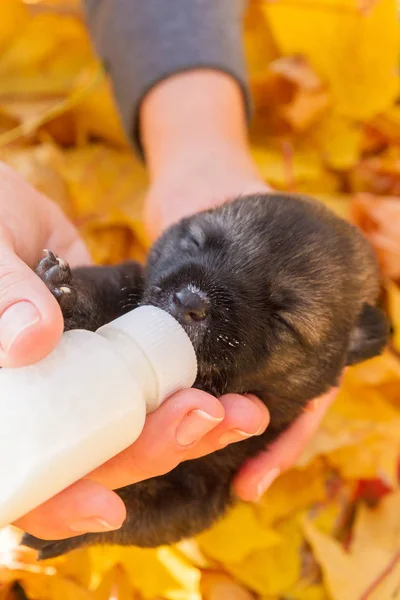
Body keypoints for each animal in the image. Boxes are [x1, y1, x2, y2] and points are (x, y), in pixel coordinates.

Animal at [23, 192, 390, 556]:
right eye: (194, 241)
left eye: (282, 317)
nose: (189, 299)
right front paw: (65, 299)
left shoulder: (202, 494)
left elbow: (136, 512)